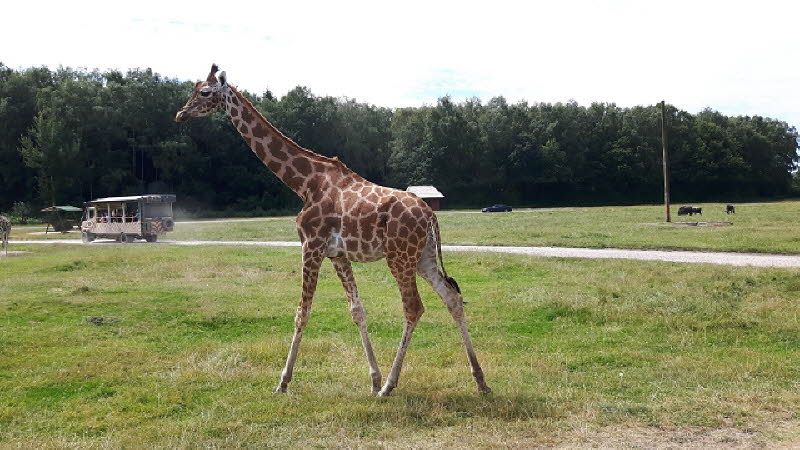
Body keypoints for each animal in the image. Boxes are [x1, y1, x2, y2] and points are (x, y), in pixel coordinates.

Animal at [176, 65, 490, 396]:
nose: (181, 114)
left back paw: (390, 386)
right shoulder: (338, 255)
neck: (304, 183)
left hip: (400, 258)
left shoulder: (311, 246)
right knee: (452, 299)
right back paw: (480, 381)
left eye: (204, 92)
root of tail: (430, 214)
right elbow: (357, 311)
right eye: (194, 88)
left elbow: (302, 313)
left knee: (413, 308)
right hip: (424, 258)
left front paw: (283, 382)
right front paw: (372, 377)